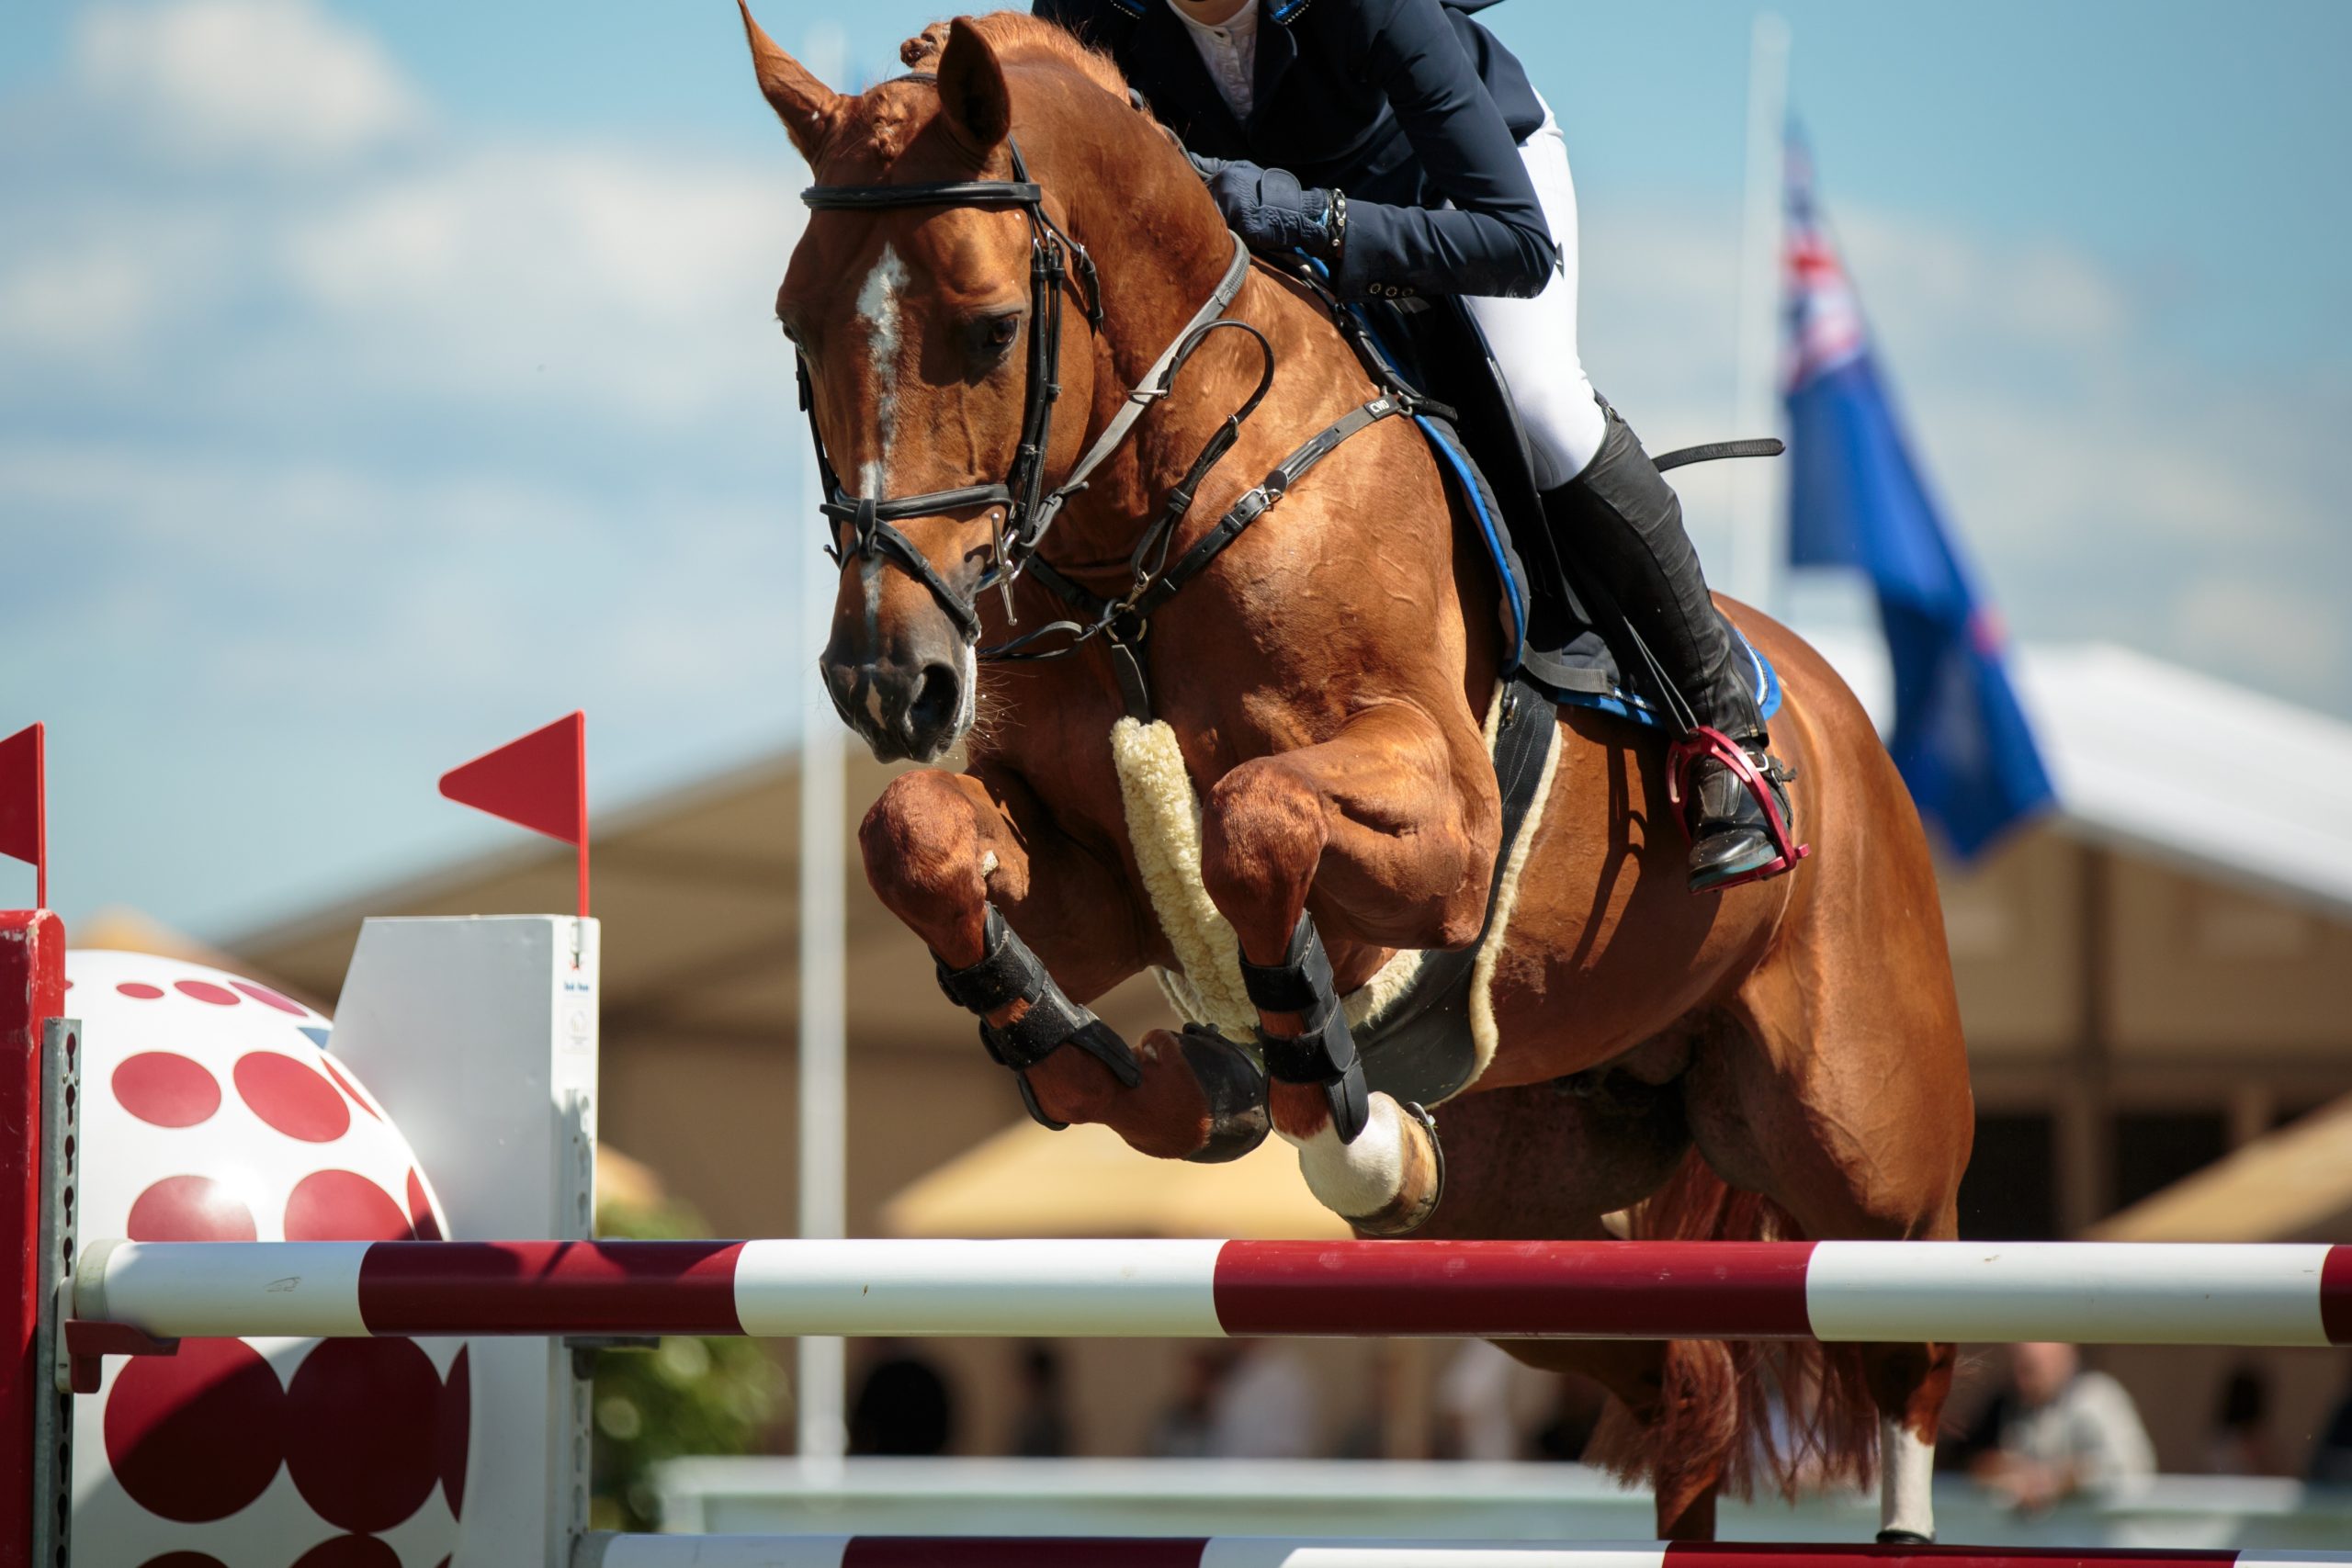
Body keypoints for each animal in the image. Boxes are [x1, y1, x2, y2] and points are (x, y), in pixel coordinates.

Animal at [738, 7, 1973, 1543]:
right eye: (797, 329)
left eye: (992, 326)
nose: (888, 680)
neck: (1158, 513)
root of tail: (1850, 727)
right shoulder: (1087, 869)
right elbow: (920, 835)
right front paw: (1135, 1071)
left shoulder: (1449, 826)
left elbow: (1251, 820)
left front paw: (1329, 1097)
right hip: (1524, 1223)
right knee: (1683, 1378)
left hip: (1865, 1152)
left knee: (1909, 1358)